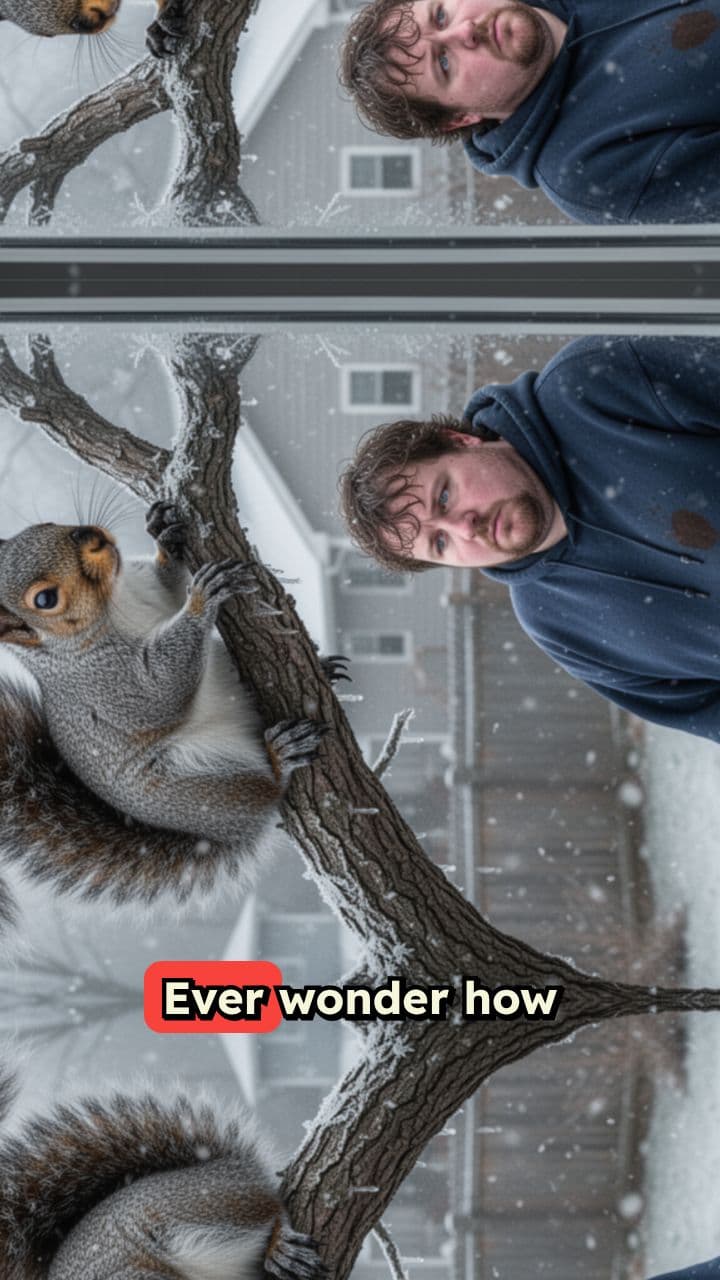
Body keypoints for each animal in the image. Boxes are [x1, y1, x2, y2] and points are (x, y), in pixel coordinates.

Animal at [0, 501, 335, 915]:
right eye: (45, 600)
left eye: (43, 525)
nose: (90, 536)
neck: (114, 602)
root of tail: (218, 833)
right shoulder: (108, 686)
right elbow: (161, 692)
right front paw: (204, 598)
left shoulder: (149, 590)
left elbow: (168, 589)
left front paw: (164, 533)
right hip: (205, 786)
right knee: (265, 791)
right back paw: (280, 756)